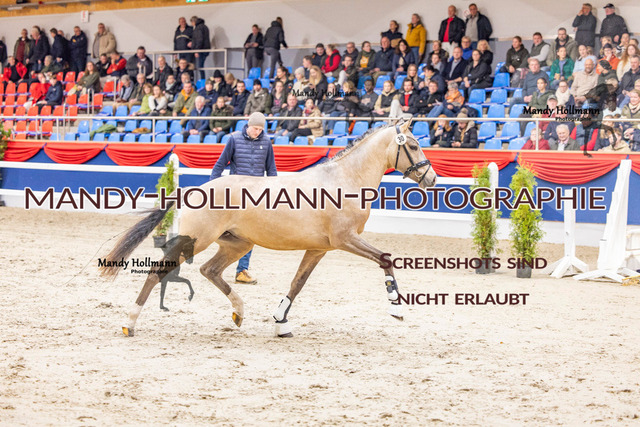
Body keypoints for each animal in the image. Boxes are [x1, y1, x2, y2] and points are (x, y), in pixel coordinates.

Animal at [99, 119, 438, 337]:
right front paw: (396, 308)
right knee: (159, 272)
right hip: (196, 241)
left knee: (210, 270)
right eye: (414, 145)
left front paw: (280, 322)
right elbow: (385, 259)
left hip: (237, 243)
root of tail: (193, 190)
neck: (343, 181)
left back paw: (238, 312)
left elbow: (297, 284)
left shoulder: (319, 248)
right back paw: (130, 322)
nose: (431, 178)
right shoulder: (345, 239)